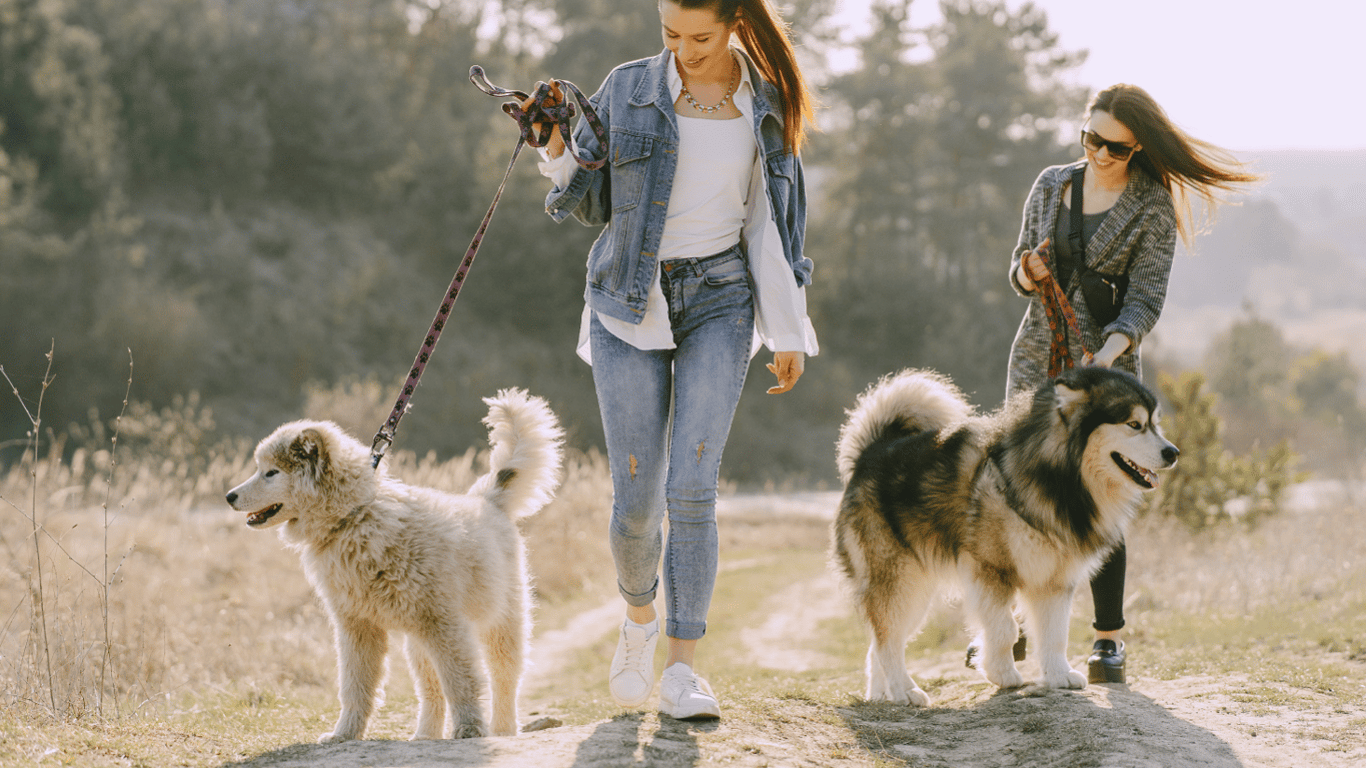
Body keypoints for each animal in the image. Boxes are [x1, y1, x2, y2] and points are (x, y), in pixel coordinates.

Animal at [226, 388, 562, 737]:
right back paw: (425, 736)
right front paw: (344, 734)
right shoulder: (357, 626)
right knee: (431, 691)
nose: (229, 497)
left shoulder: (445, 625)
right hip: (419, 644)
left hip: (500, 624)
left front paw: (469, 728)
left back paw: (504, 729)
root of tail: (488, 499)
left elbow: (462, 682)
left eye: (271, 472)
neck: (354, 518)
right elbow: (355, 687)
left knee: (504, 679)